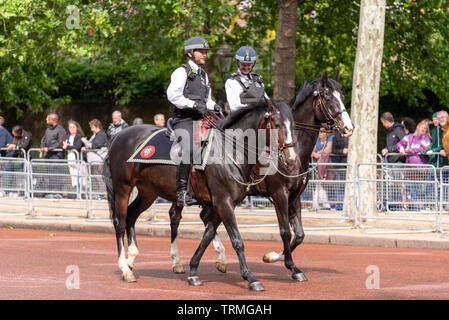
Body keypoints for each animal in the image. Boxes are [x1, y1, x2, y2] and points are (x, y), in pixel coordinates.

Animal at [102, 99, 298, 290]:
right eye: (277, 124)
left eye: (294, 125)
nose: (292, 160)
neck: (230, 150)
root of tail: (118, 136)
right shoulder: (225, 203)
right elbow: (237, 240)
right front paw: (250, 278)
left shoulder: (220, 205)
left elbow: (207, 236)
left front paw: (194, 271)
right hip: (123, 188)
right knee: (120, 222)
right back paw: (125, 269)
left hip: (148, 192)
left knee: (132, 215)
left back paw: (133, 259)